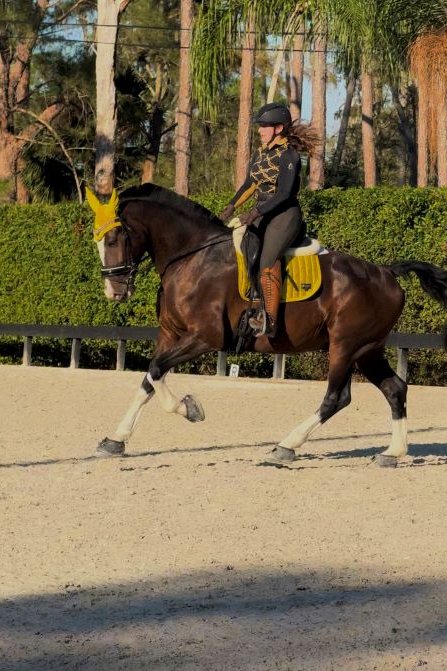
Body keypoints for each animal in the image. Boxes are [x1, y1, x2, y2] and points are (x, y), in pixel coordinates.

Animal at [86, 183, 447, 466]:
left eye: (115, 238)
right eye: (97, 240)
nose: (113, 291)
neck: (193, 258)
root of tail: (386, 272)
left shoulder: (205, 337)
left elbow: (157, 370)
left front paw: (190, 408)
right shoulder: (169, 335)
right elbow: (149, 378)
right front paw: (116, 440)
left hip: (346, 346)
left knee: (336, 397)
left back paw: (286, 446)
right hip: (367, 351)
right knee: (394, 388)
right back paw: (392, 453)